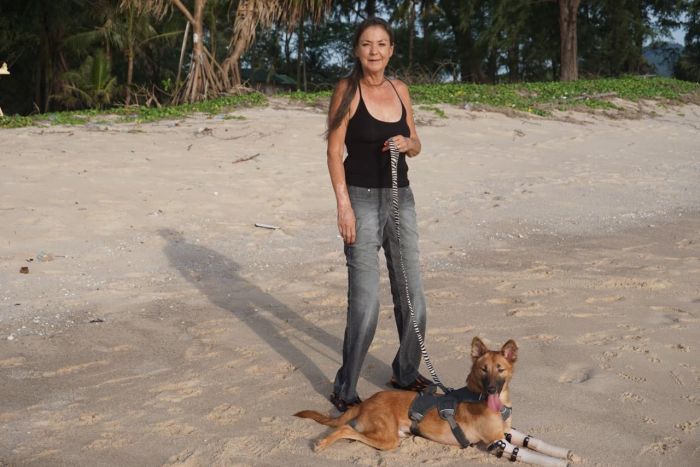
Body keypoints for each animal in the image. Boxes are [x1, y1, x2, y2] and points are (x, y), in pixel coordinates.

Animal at [295, 337, 517, 451]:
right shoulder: (495, 438)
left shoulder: (506, 432)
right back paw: (322, 443)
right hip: (388, 438)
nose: (491, 390)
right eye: (483, 370)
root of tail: (366, 402)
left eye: (500, 369)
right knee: (345, 429)